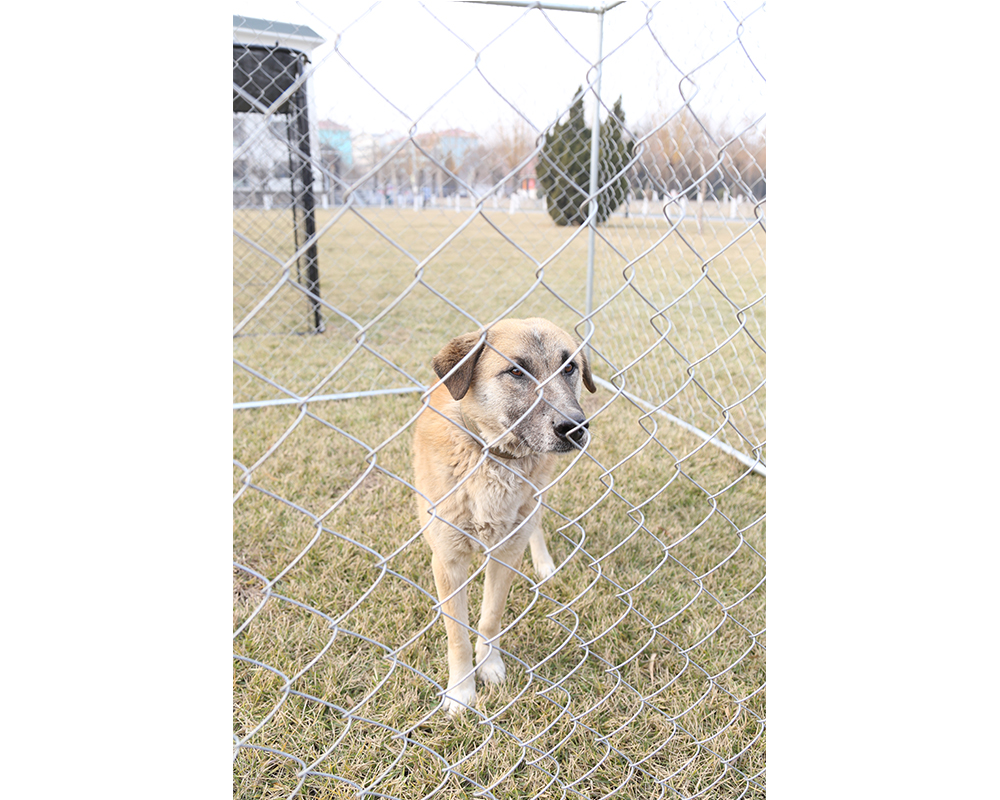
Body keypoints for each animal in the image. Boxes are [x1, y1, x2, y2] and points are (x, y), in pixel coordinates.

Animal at [412, 316, 592, 716]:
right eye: (516, 371)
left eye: (569, 367)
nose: (574, 427)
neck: (492, 456)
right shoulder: (448, 562)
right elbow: (458, 636)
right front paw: (461, 691)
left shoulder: (507, 552)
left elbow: (491, 618)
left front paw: (489, 664)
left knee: (536, 523)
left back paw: (543, 563)